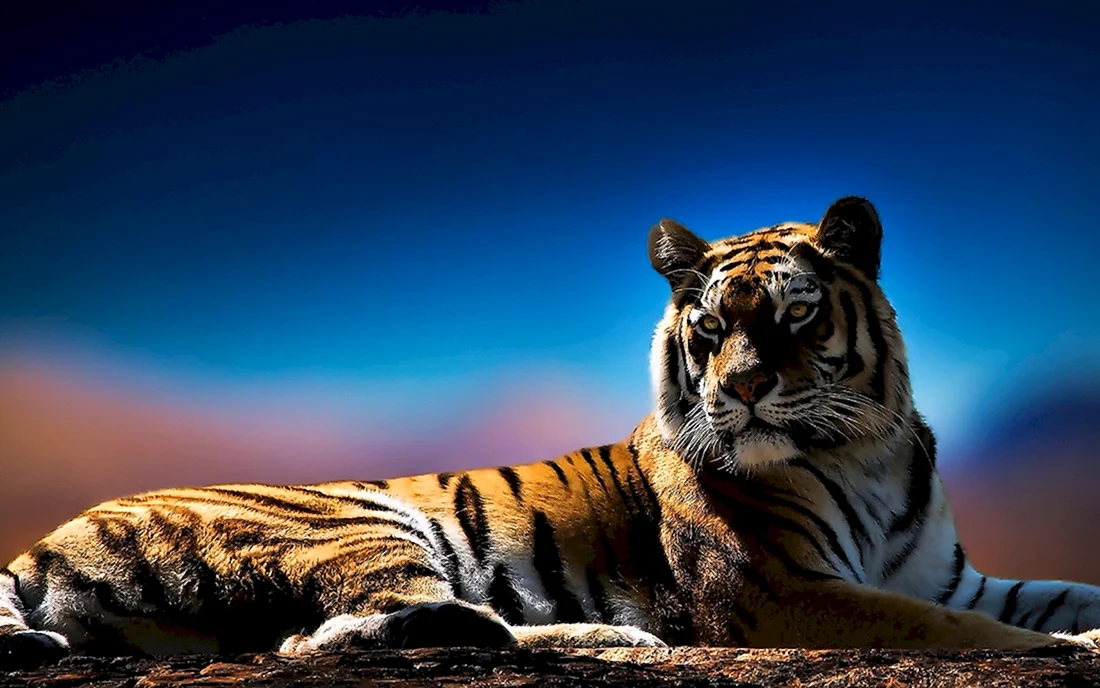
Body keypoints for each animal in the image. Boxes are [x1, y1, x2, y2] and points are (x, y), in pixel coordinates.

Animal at [3, 196, 1100, 671]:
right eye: (709, 330)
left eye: (793, 317)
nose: (742, 390)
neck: (866, 450)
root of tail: (39, 543)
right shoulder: (786, 589)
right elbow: (966, 633)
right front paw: (1073, 645)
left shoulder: (944, 574)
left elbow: (1047, 592)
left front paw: (1079, 622)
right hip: (357, 520)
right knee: (328, 633)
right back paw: (616, 635)